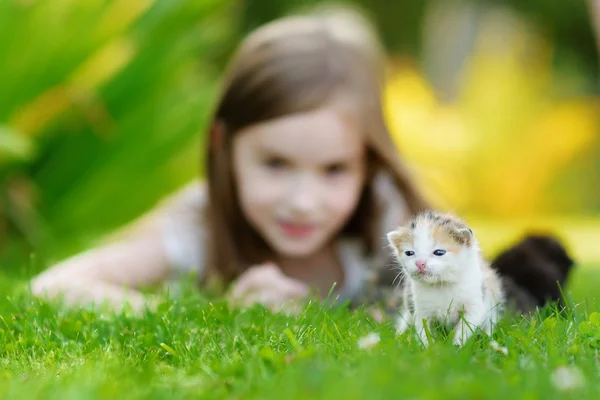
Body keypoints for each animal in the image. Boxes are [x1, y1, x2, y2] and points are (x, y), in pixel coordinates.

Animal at [386, 211, 504, 348]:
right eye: (409, 253)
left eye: (439, 252)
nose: (420, 263)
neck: (441, 285)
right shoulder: (421, 310)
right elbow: (423, 330)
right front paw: (427, 348)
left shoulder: (475, 305)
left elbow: (465, 327)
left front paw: (456, 346)